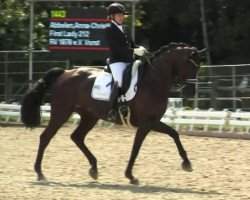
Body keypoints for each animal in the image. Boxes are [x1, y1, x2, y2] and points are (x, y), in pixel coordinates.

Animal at [21, 42, 205, 184]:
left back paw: (94, 168)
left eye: (199, 67)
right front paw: (186, 163)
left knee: (77, 137)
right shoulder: (147, 122)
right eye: (190, 65)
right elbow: (172, 134)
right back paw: (40, 173)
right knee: (46, 137)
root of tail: (65, 73)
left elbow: (139, 147)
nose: (190, 93)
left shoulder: (147, 124)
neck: (153, 82)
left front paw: (130, 176)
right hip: (62, 112)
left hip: (90, 116)